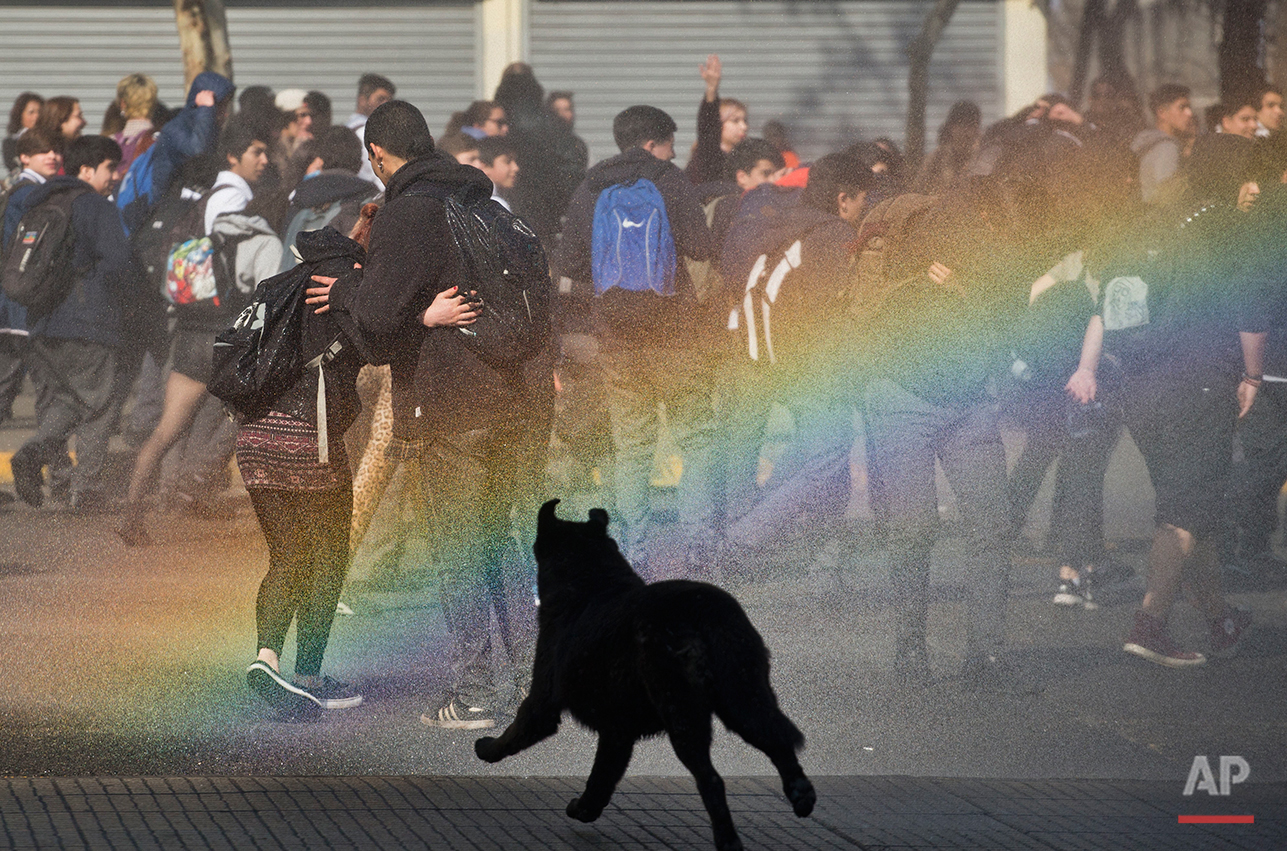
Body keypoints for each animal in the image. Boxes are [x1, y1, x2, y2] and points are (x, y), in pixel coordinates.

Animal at [473, 496, 813, 849]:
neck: (590, 580)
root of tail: (703, 612)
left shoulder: (544, 700)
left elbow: (518, 731)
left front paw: (486, 748)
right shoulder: (617, 731)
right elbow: (602, 778)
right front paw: (584, 809)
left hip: (683, 711)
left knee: (711, 779)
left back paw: (728, 839)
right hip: (743, 695)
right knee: (776, 742)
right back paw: (801, 795)